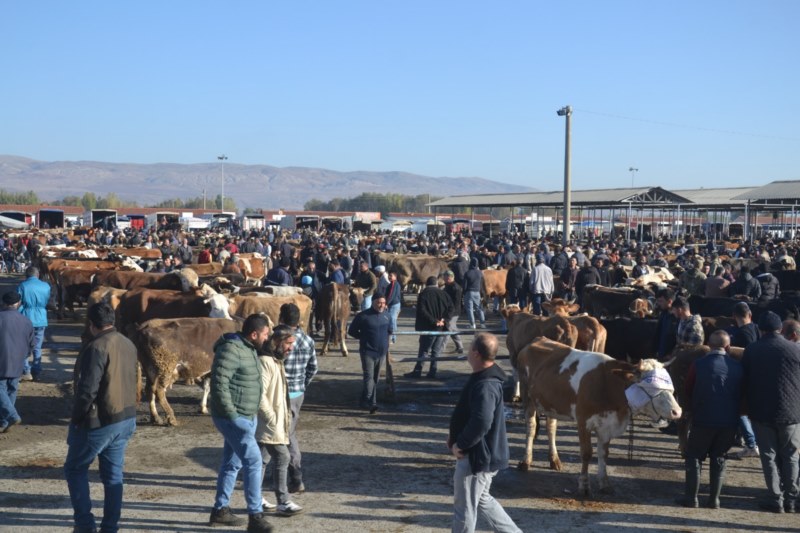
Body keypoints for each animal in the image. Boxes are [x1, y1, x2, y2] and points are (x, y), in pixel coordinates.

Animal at [520, 336, 680, 494]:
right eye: (652, 386)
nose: (677, 411)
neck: (607, 384)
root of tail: (538, 339)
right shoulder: (583, 421)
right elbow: (586, 453)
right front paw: (584, 485)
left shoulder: (607, 424)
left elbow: (603, 454)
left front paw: (605, 483)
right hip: (528, 397)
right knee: (531, 427)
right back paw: (526, 461)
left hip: (550, 403)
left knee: (551, 427)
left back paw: (554, 460)